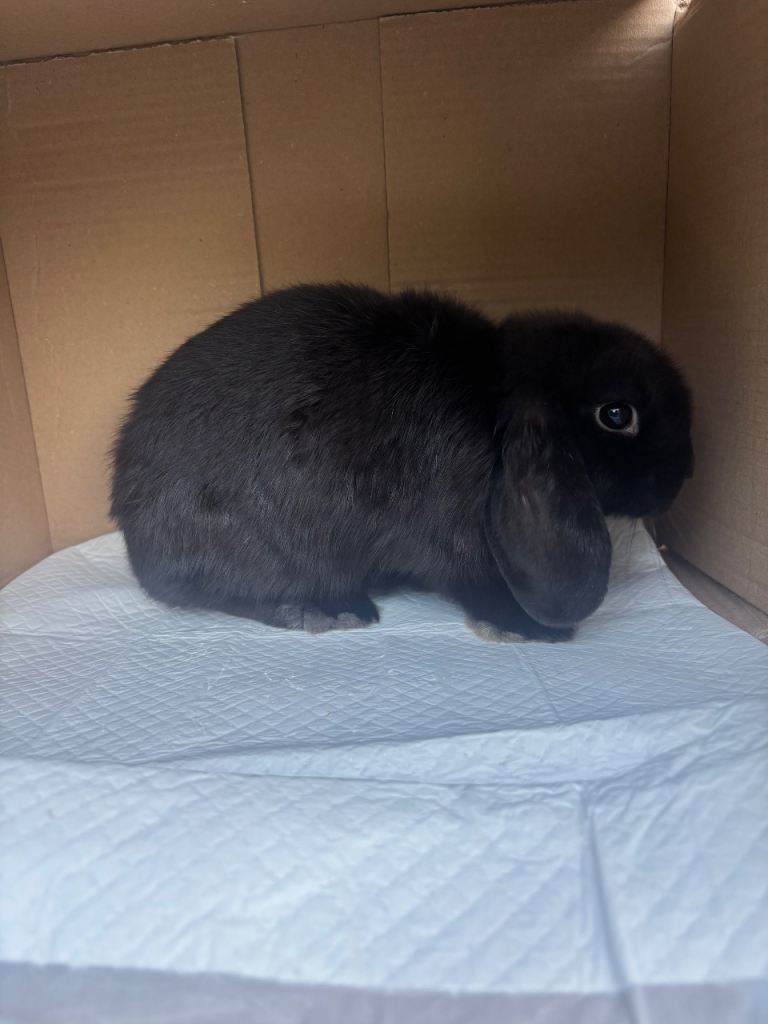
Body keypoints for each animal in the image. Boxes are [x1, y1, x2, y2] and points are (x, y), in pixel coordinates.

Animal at [111, 283, 693, 642]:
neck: (492, 402)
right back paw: (325, 610)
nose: (684, 473)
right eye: (616, 414)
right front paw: (530, 629)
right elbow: (474, 585)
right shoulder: (453, 549)